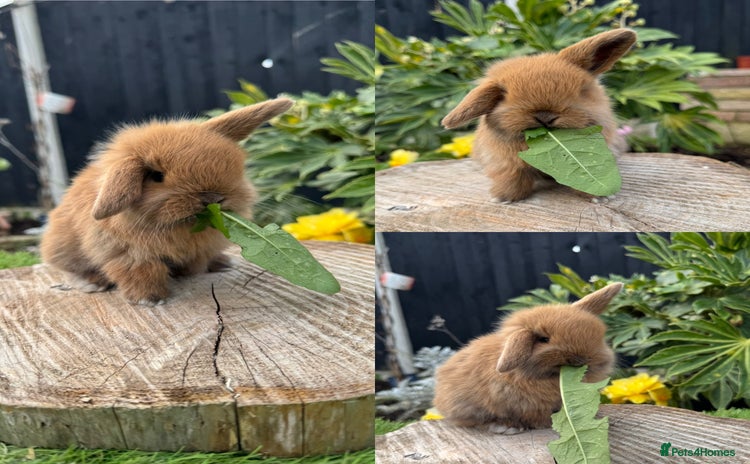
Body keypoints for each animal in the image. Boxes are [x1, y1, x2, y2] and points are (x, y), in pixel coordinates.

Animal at [40, 98, 294, 305]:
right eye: (156, 176)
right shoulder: (128, 255)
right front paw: (150, 300)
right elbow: (142, 273)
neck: (181, 227)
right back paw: (92, 283)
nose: (214, 199)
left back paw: (222, 262)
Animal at [433, 282, 622, 434]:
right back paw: (506, 427)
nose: (582, 360)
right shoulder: (528, 407)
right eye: (543, 339)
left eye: (597, 335)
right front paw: (545, 425)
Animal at [441, 29, 636, 202]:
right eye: (503, 96)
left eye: (582, 91)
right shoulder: (505, 163)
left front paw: (600, 197)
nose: (545, 116)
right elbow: (512, 177)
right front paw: (504, 198)